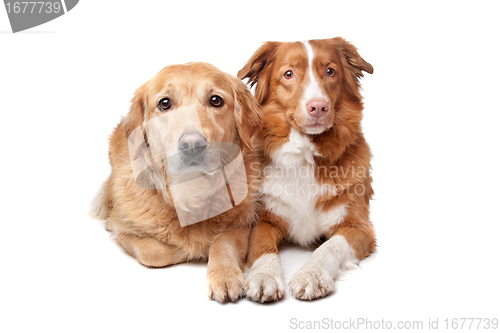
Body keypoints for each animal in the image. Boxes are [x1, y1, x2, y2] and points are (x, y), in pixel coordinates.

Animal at [238, 37, 376, 302]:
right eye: (288, 74)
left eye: (330, 71)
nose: (318, 107)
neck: (305, 155)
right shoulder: (264, 220)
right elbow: (263, 249)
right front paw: (264, 276)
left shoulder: (359, 227)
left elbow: (329, 247)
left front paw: (312, 275)